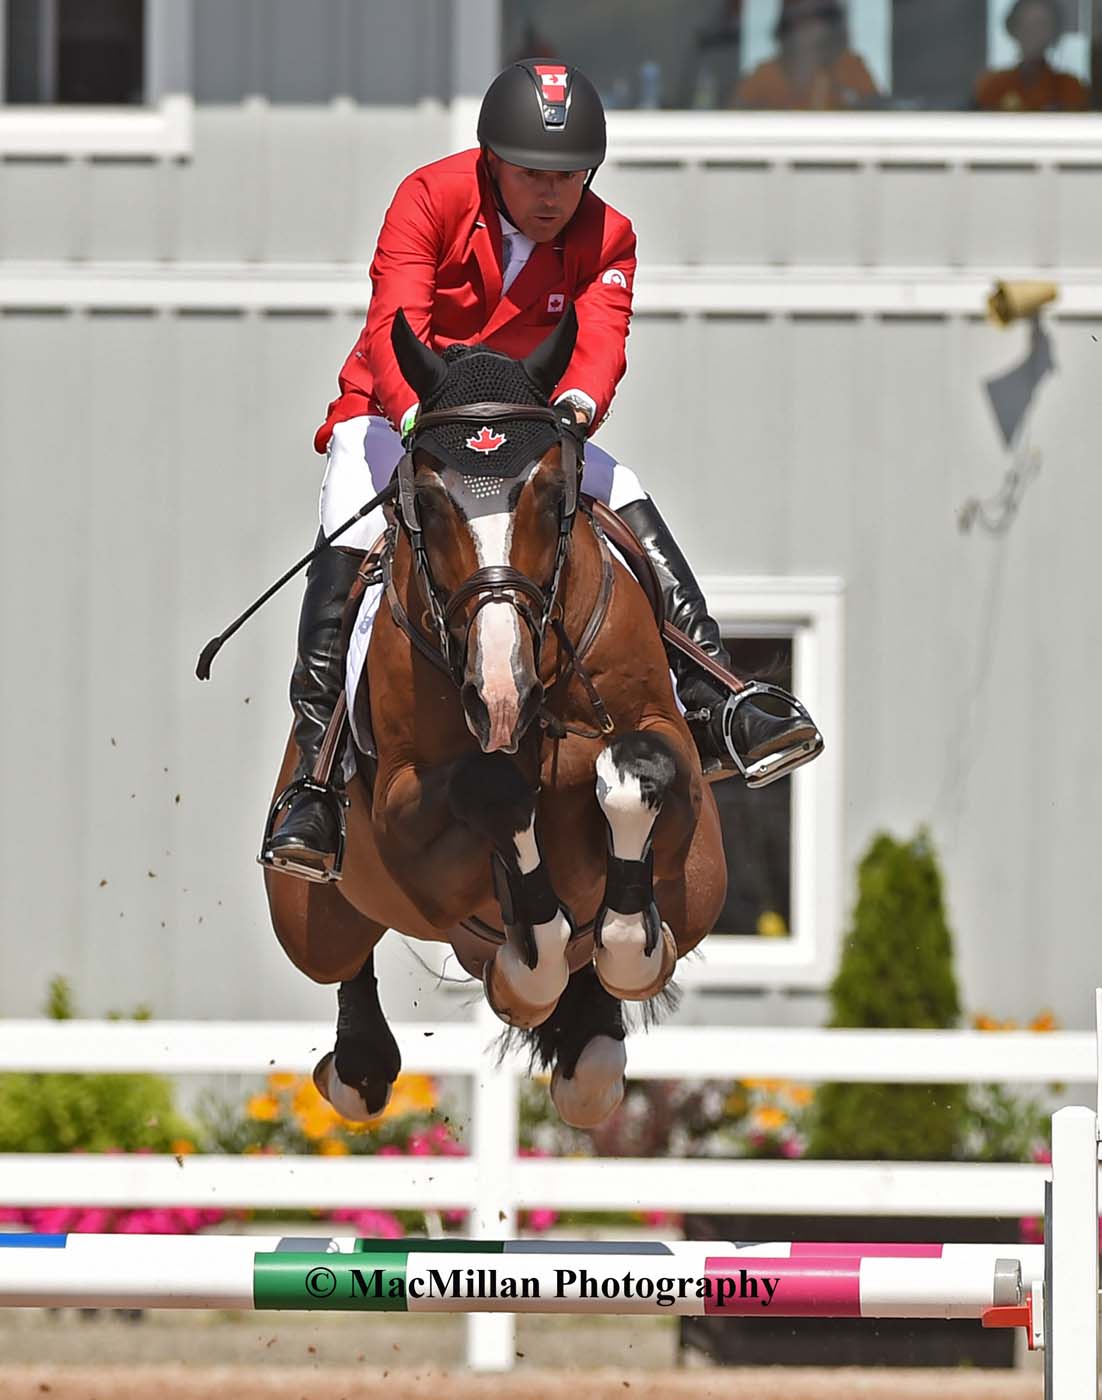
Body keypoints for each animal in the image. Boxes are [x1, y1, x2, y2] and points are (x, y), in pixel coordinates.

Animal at [264, 312, 733, 1131]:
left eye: (551, 495)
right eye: (424, 500)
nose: (499, 692)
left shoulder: (671, 766)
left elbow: (636, 770)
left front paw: (621, 940)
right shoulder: (403, 818)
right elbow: (495, 794)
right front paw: (530, 963)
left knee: (594, 1039)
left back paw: (590, 1040)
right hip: (310, 918)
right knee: (343, 960)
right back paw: (362, 1059)